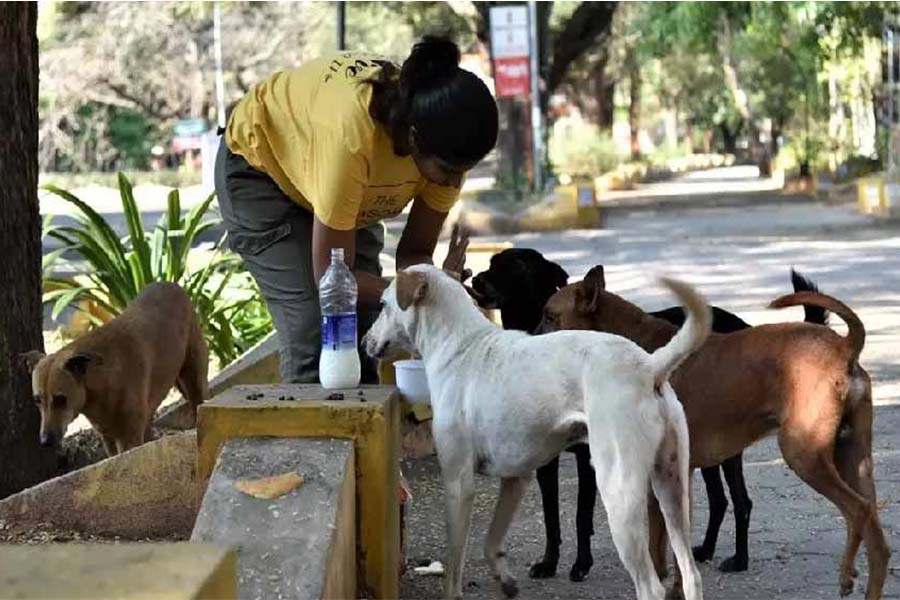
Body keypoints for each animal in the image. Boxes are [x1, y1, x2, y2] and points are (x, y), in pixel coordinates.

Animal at [21, 282, 207, 454]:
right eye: (37, 400)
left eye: (61, 399)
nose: (45, 441)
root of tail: (170, 284)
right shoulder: (108, 438)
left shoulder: (129, 439)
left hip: (193, 381)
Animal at [366, 268, 712, 600]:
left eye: (382, 305)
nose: (365, 342)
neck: (460, 345)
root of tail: (648, 366)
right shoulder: (517, 478)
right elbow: (491, 542)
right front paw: (506, 581)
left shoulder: (458, 483)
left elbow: (454, 562)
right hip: (673, 488)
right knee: (691, 575)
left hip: (620, 493)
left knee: (651, 587)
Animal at [472, 250, 828, 580]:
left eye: (550, 316)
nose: (526, 345)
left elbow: (596, 518)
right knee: (722, 500)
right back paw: (707, 550)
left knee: (740, 502)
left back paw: (739, 559)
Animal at [536, 268, 888, 600]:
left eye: (550, 315)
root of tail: (843, 346)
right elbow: (668, 548)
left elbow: (662, 547)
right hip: (853, 460)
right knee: (876, 535)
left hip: (804, 453)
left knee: (858, 511)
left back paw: (845, 575)